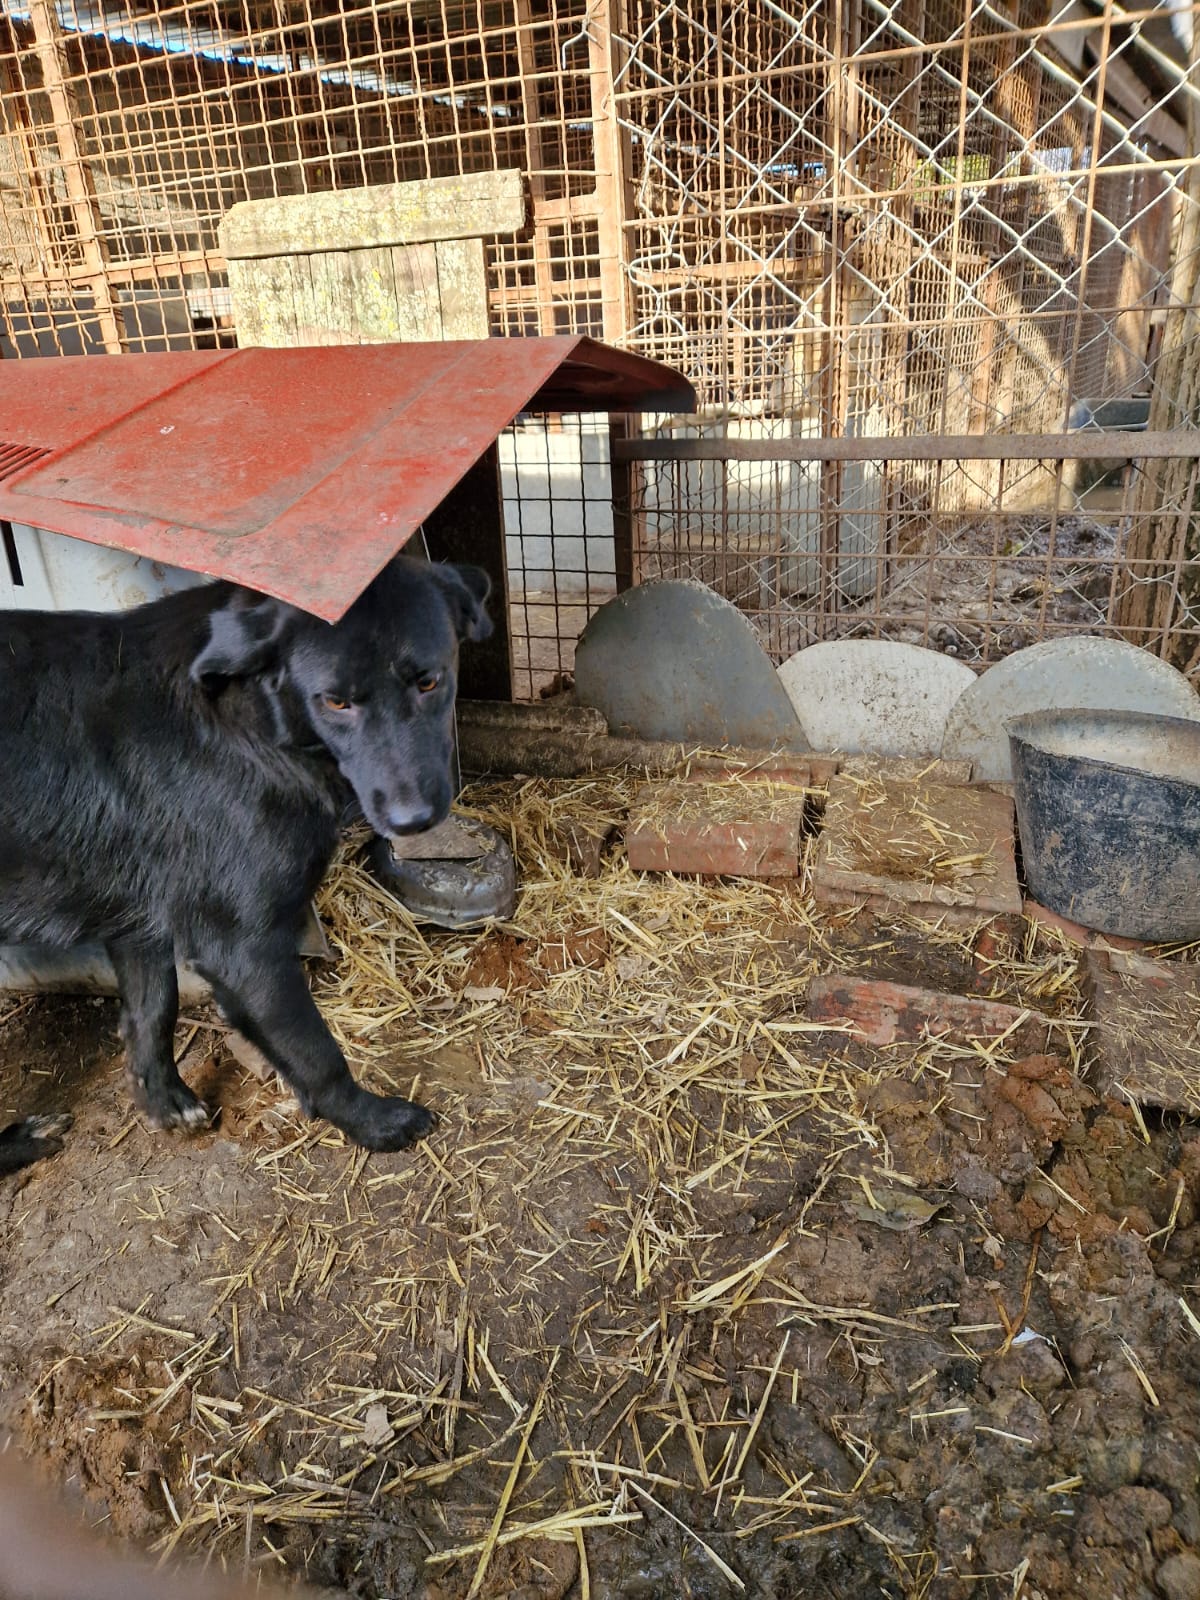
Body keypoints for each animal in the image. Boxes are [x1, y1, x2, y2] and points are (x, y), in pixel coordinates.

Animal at [0, 555, 490, 1158]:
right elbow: (315, 1054)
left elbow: (150, 1012)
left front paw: (163, 1101)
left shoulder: (139, 918)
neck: (255, 724)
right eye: (335, 702)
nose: (411, 820)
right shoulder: (241, 948)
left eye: (429, 681)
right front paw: (373, 1123)